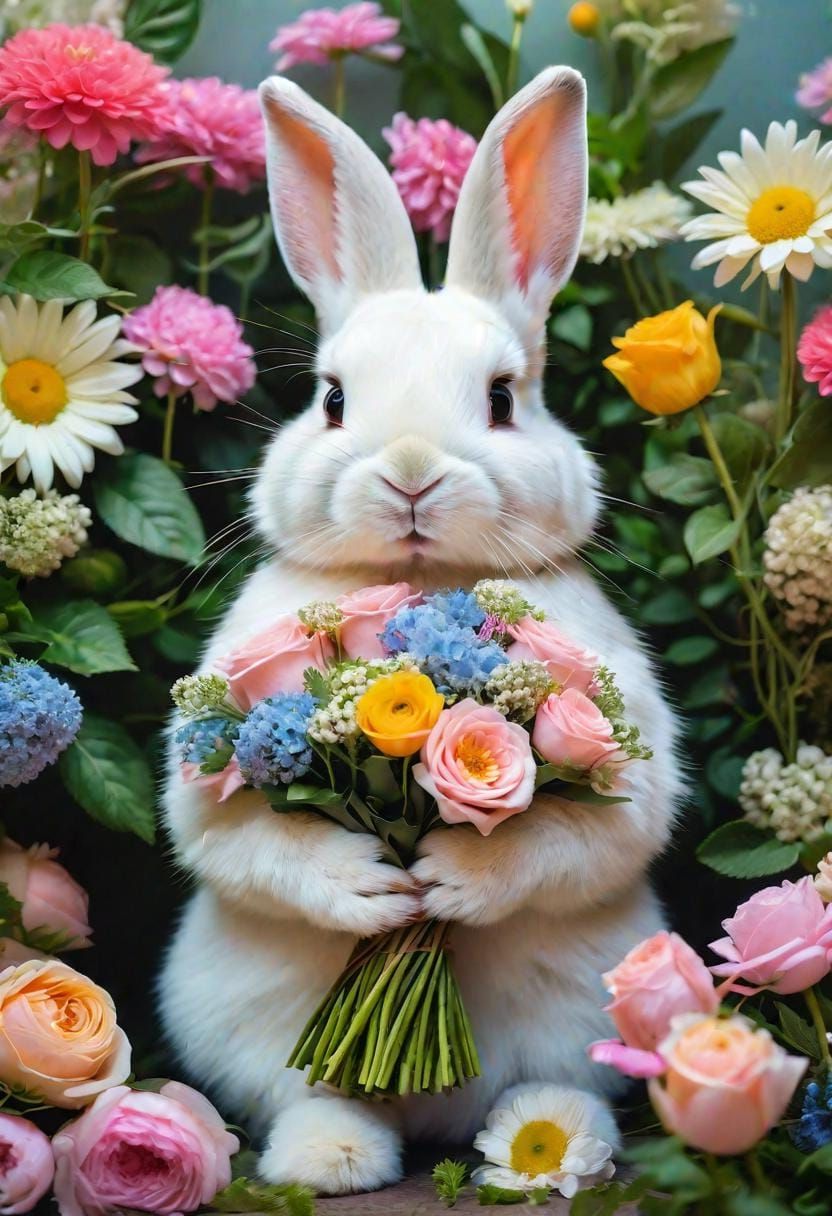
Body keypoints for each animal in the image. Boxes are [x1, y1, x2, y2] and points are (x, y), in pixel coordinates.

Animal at [158, 66, 682, 1196]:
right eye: (330, 398)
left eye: (502, 398)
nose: (409, 471)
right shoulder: (207, 776)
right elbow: (234, 839)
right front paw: (370, 886)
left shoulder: (630, 754)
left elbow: (600, 831)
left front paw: (446, 880)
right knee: (307, 1093)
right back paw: (331, 1154)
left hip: (593, 1006)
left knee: (556, 1089)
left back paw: (551, 1135)